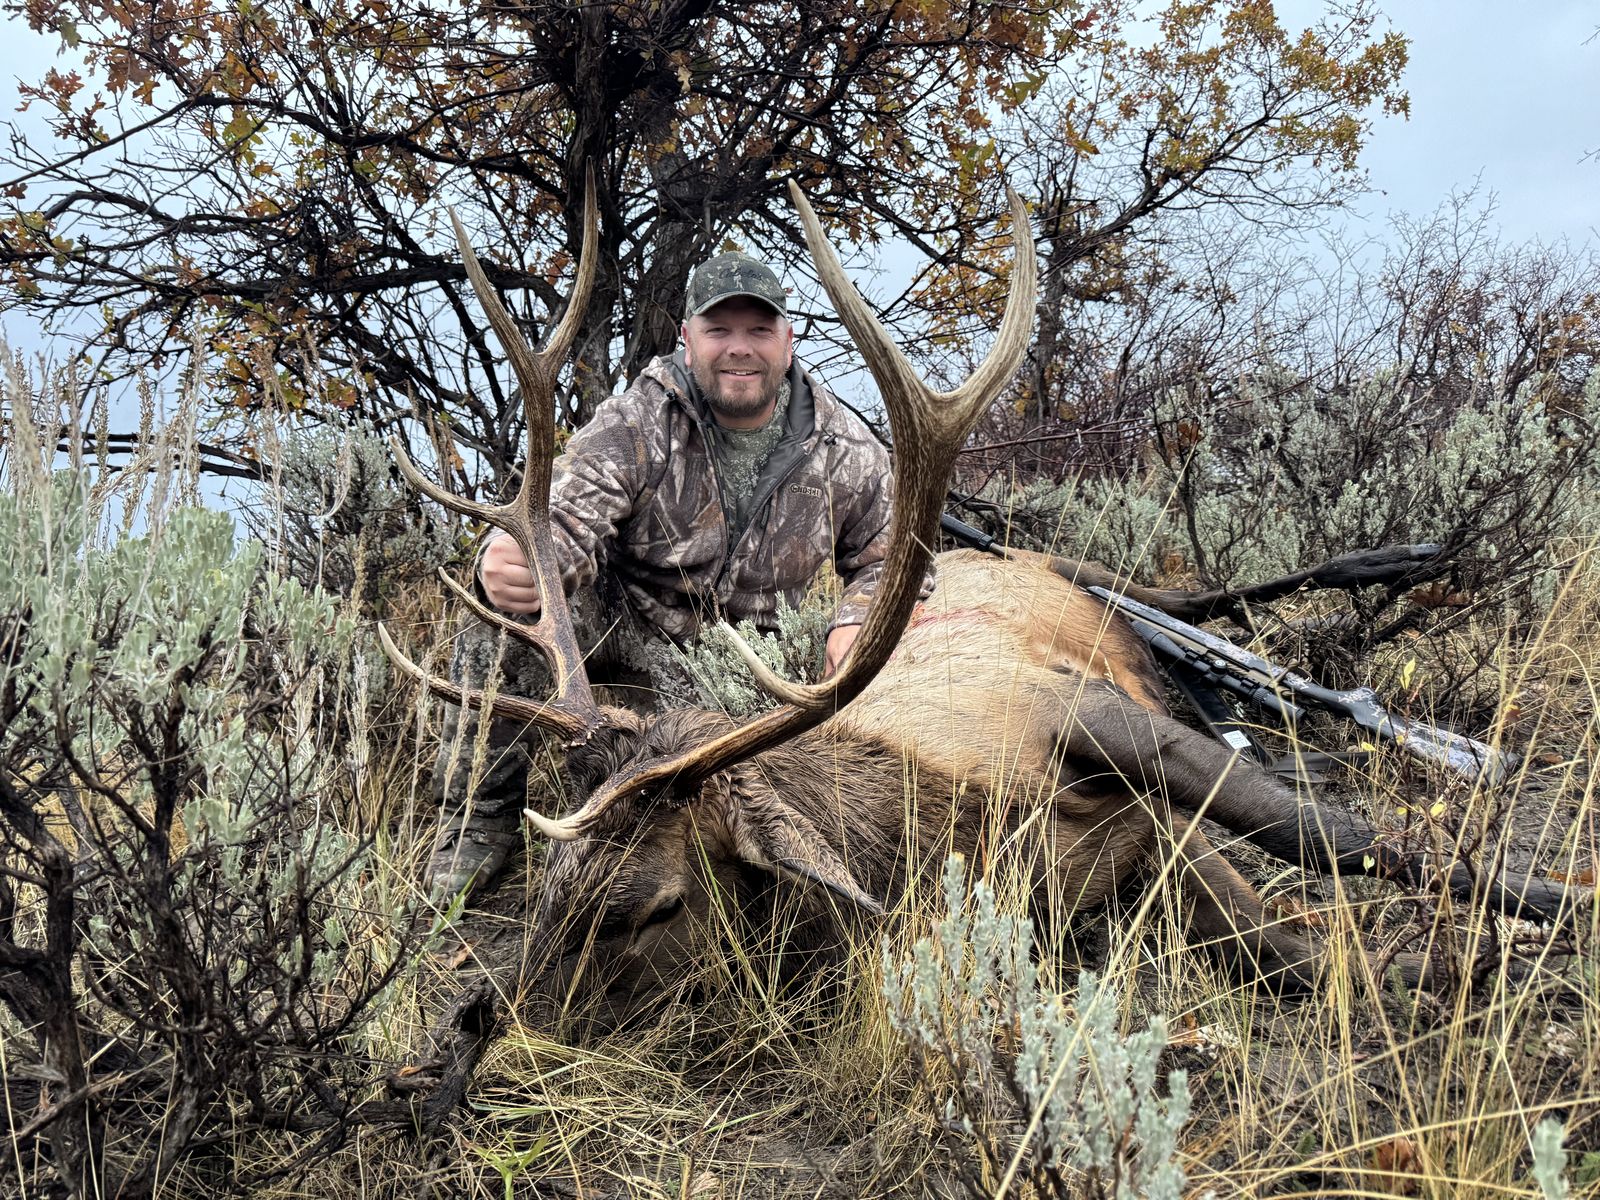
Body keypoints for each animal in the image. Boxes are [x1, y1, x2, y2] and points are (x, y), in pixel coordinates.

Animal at [378, 176, 1574, 1057]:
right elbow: (1308, 944)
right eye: (549, 891)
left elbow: (1334, 845)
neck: (956, 830)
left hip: (1101, 599)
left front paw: (1547, 904)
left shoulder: (1089, 715)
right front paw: (1458, 956)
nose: (479, 1025)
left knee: (1208, 623)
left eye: (653, 908)